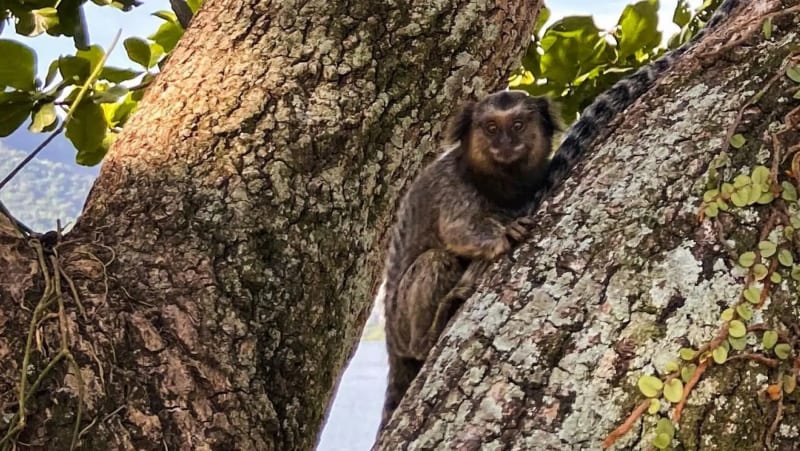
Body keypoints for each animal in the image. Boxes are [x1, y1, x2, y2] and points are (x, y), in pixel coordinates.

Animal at [374, 0, 740, 435]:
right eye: (490, 128)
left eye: (517, 125)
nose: (505, 143)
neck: (502, 182)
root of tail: (392, 346)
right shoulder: (455, 186)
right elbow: (458, 230)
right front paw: (504, 234)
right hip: (399, 322)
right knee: (435, 261)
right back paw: (429, 335)